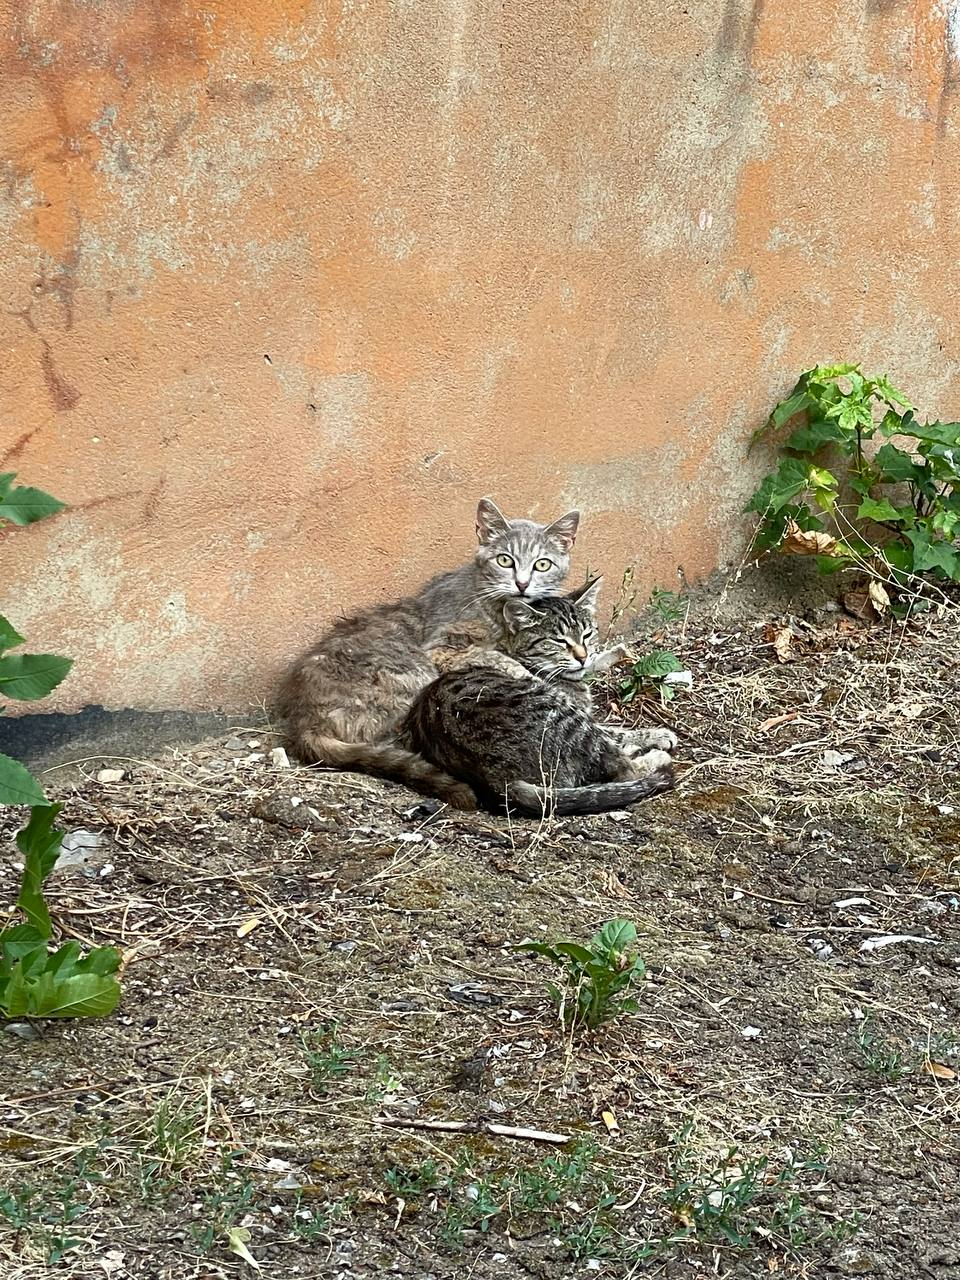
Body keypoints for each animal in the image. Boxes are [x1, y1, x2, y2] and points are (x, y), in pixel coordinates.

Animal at [273, 494, 583, 803]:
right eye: (505, 560)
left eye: (542, 565)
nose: (522, 584)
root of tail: (304, 720)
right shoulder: (441, 648)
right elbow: (493, 655)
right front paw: (528, 674)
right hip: (415, 674)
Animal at [396, 576, 675, 814]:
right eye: (559, 641)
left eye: (587, 634)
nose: (583, 657)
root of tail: (500, 780)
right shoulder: (580, 710)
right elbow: (617, 732)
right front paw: (658, 735)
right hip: (566, 717)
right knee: (623, 769)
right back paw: (654, 758)